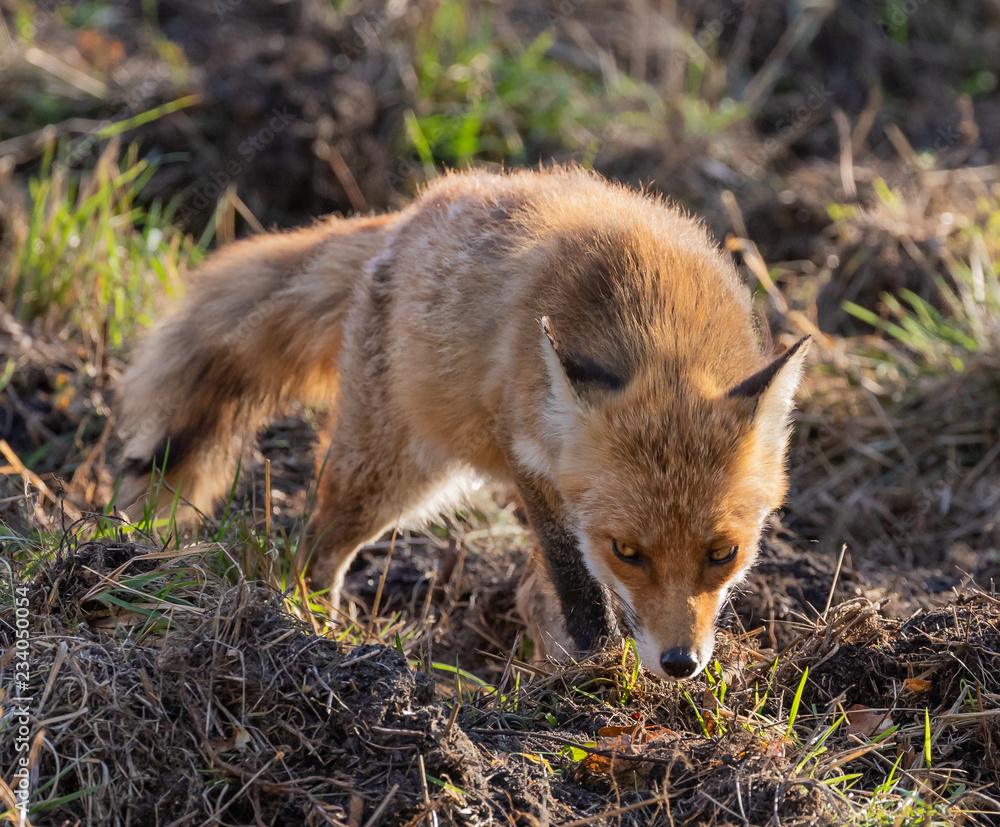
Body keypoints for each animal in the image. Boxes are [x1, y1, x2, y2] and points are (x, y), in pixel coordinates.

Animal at [115, 166, 808, 681]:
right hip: (389, 476)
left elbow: (559, 590)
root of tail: (410, 213)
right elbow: (578, 586)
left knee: (525, 596)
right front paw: (602, 665)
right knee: (314, 550)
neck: (655, 324)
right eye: (628, 552)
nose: (680, 663)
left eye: (723, 554)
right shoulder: (529, 455)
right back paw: (316, 631)